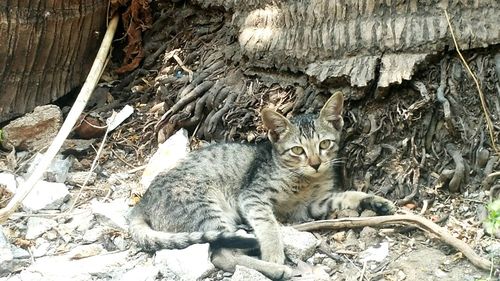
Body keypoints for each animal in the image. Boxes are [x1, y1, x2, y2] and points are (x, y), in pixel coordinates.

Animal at [129, 92, 394, 278]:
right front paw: (274, 255)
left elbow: (346, 195)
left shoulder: (312, 205)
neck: (306, 180)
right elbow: (268, 225)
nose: (316, 164)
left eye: (325, 144)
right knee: (222, 254)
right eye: (297, 150)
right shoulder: (253, 196)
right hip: (205, 208)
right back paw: (273, 268)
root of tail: (142, 202)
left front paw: (376, 202)